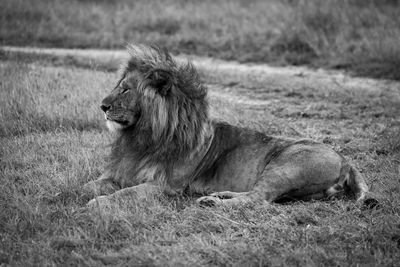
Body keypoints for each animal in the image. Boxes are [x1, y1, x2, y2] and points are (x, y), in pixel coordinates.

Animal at [83, 44, 374, 208]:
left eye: (125, 90)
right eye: (119, 86)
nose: (102, 106)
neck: (142, 137)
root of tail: (346, 160)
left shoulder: (165, 187)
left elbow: (125, 194)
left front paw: (96, 204)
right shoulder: (121, 172)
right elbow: (90, 184)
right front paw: (75, 194)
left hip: (286, 166)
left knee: (260, 201)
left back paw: (212, 202)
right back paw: (218, 195)